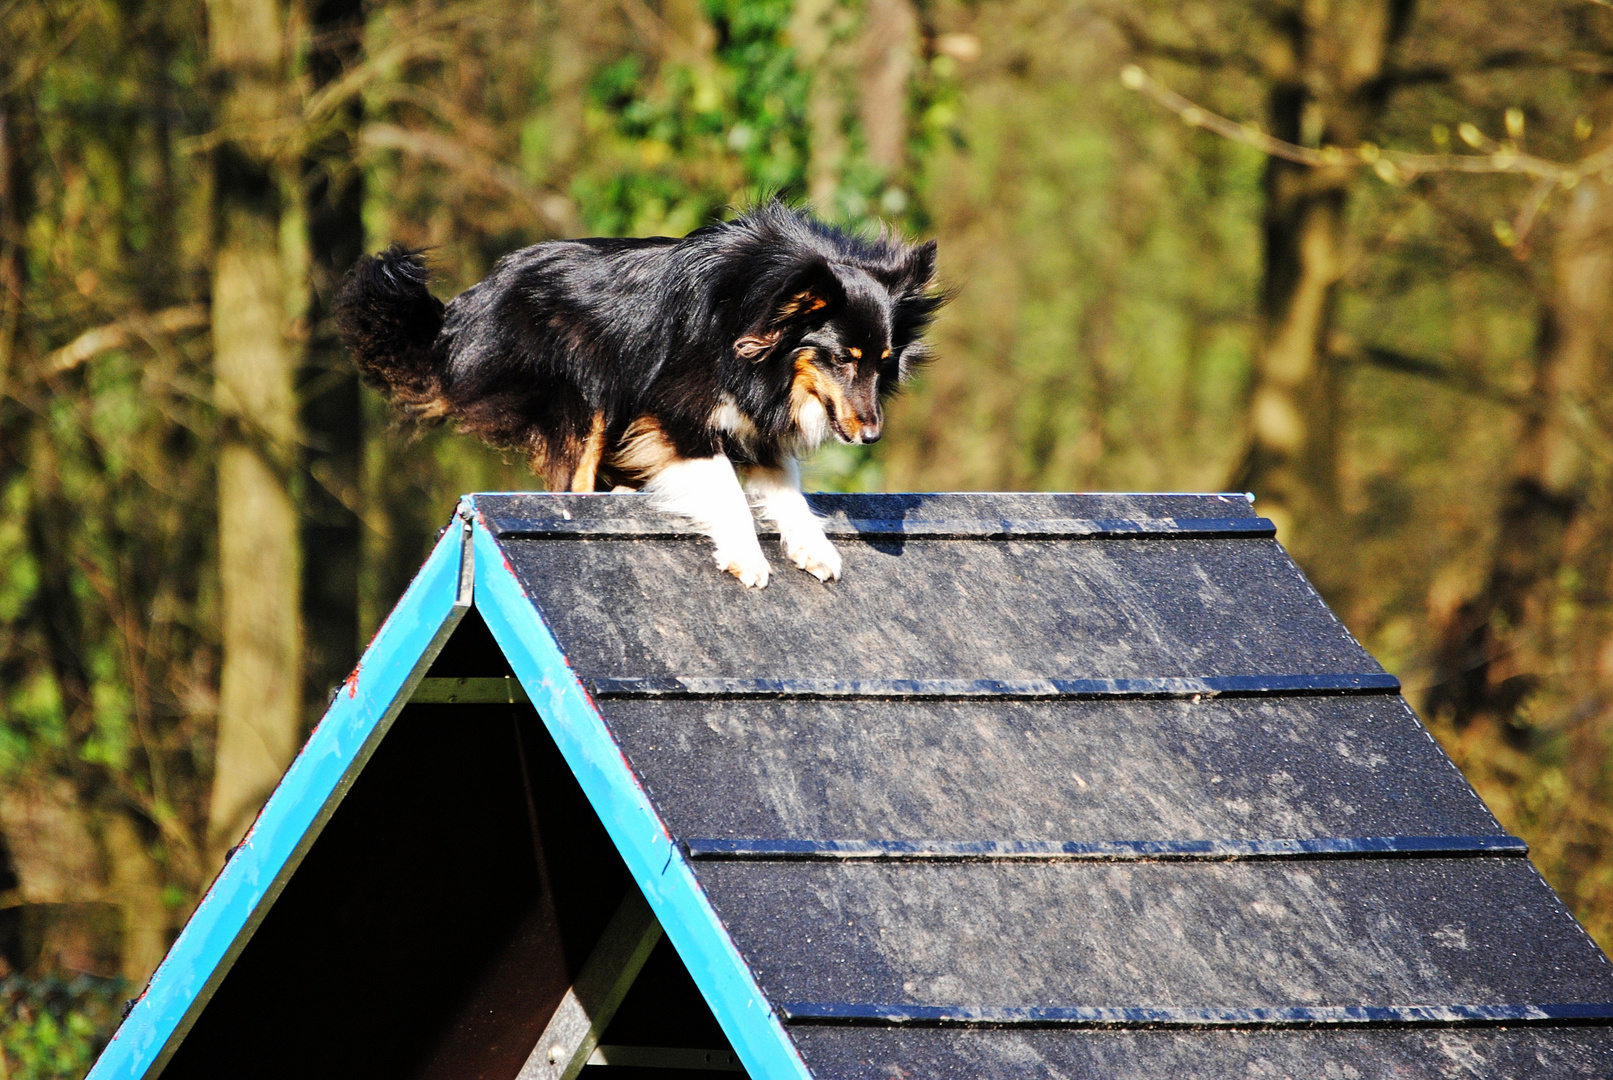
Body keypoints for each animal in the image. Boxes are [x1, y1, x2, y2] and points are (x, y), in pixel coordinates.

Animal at [337, 203, 941, 593]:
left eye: (884, 361)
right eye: (843, 359)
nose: (871, 435)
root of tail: (468, 310)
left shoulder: (757, 425)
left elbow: (787, 489)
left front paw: (814, 547)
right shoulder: (674, 413)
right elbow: (725, 485)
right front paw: (746, 557)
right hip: (587, 399)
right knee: (574, 480)